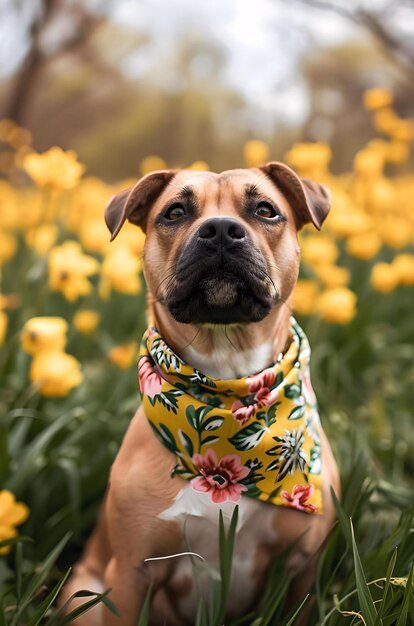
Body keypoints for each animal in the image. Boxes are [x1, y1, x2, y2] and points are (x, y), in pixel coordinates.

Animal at [62, 162, 340, 624]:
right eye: (174, 212)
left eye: (265, 209)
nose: (222, 229)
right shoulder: (131, 572)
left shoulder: (302, 568)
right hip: (85, 595)